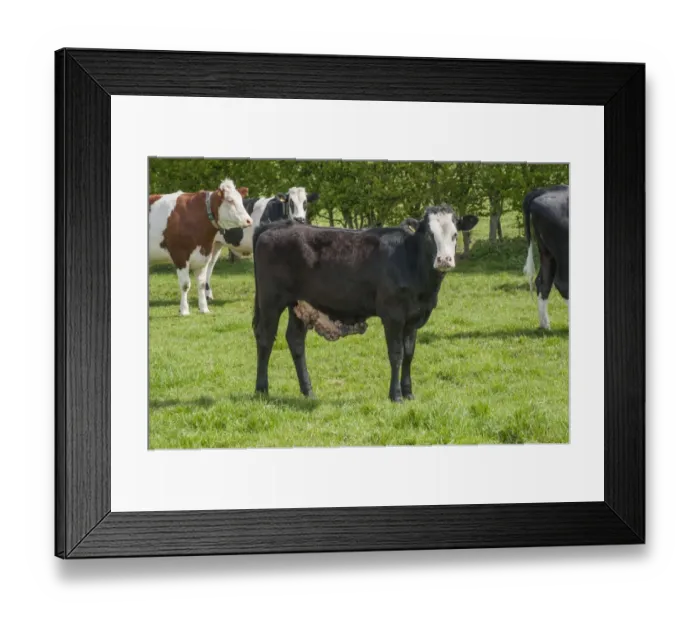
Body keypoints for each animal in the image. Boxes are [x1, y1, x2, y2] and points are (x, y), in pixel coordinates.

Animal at [148, 178, 253, 315]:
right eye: (230, 200)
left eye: (241, 200)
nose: (249, 220)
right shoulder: (179, 255)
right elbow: (185, 285)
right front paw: (184, 310)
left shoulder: (204, 255)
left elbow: (202, 284)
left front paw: (204, 309)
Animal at [251, 205, 479, 402]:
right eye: (429, 235)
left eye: (455, 234)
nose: (444, 260)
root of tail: (277, 226)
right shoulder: (393, 315)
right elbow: (396, 354)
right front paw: (396, 395)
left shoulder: (414, 317)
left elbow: (409, 354)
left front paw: (408, 393)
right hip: (270, 300)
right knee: (265, 338)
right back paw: (262, 389)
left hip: (299, 303)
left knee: (296, 341)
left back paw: (308, 391)